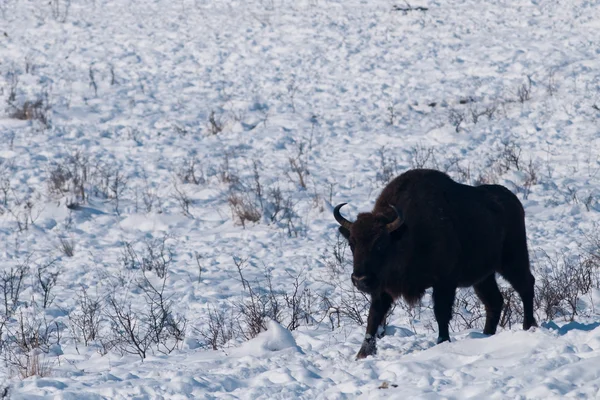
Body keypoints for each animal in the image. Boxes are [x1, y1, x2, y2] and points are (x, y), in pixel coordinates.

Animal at [336, 169, 536, 360]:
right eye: (352, 243)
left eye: (380, 244)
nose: (360, 279)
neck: (405, 234)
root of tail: (514, 201)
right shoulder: (382, 288)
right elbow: (374, 316)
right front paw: (363, 354)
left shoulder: (444, 282)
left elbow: (441, 312)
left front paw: (443, 342)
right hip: (484, 277)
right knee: (494, 301)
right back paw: (486, 335)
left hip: (513, 261)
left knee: (526, 286)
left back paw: (529, 326)